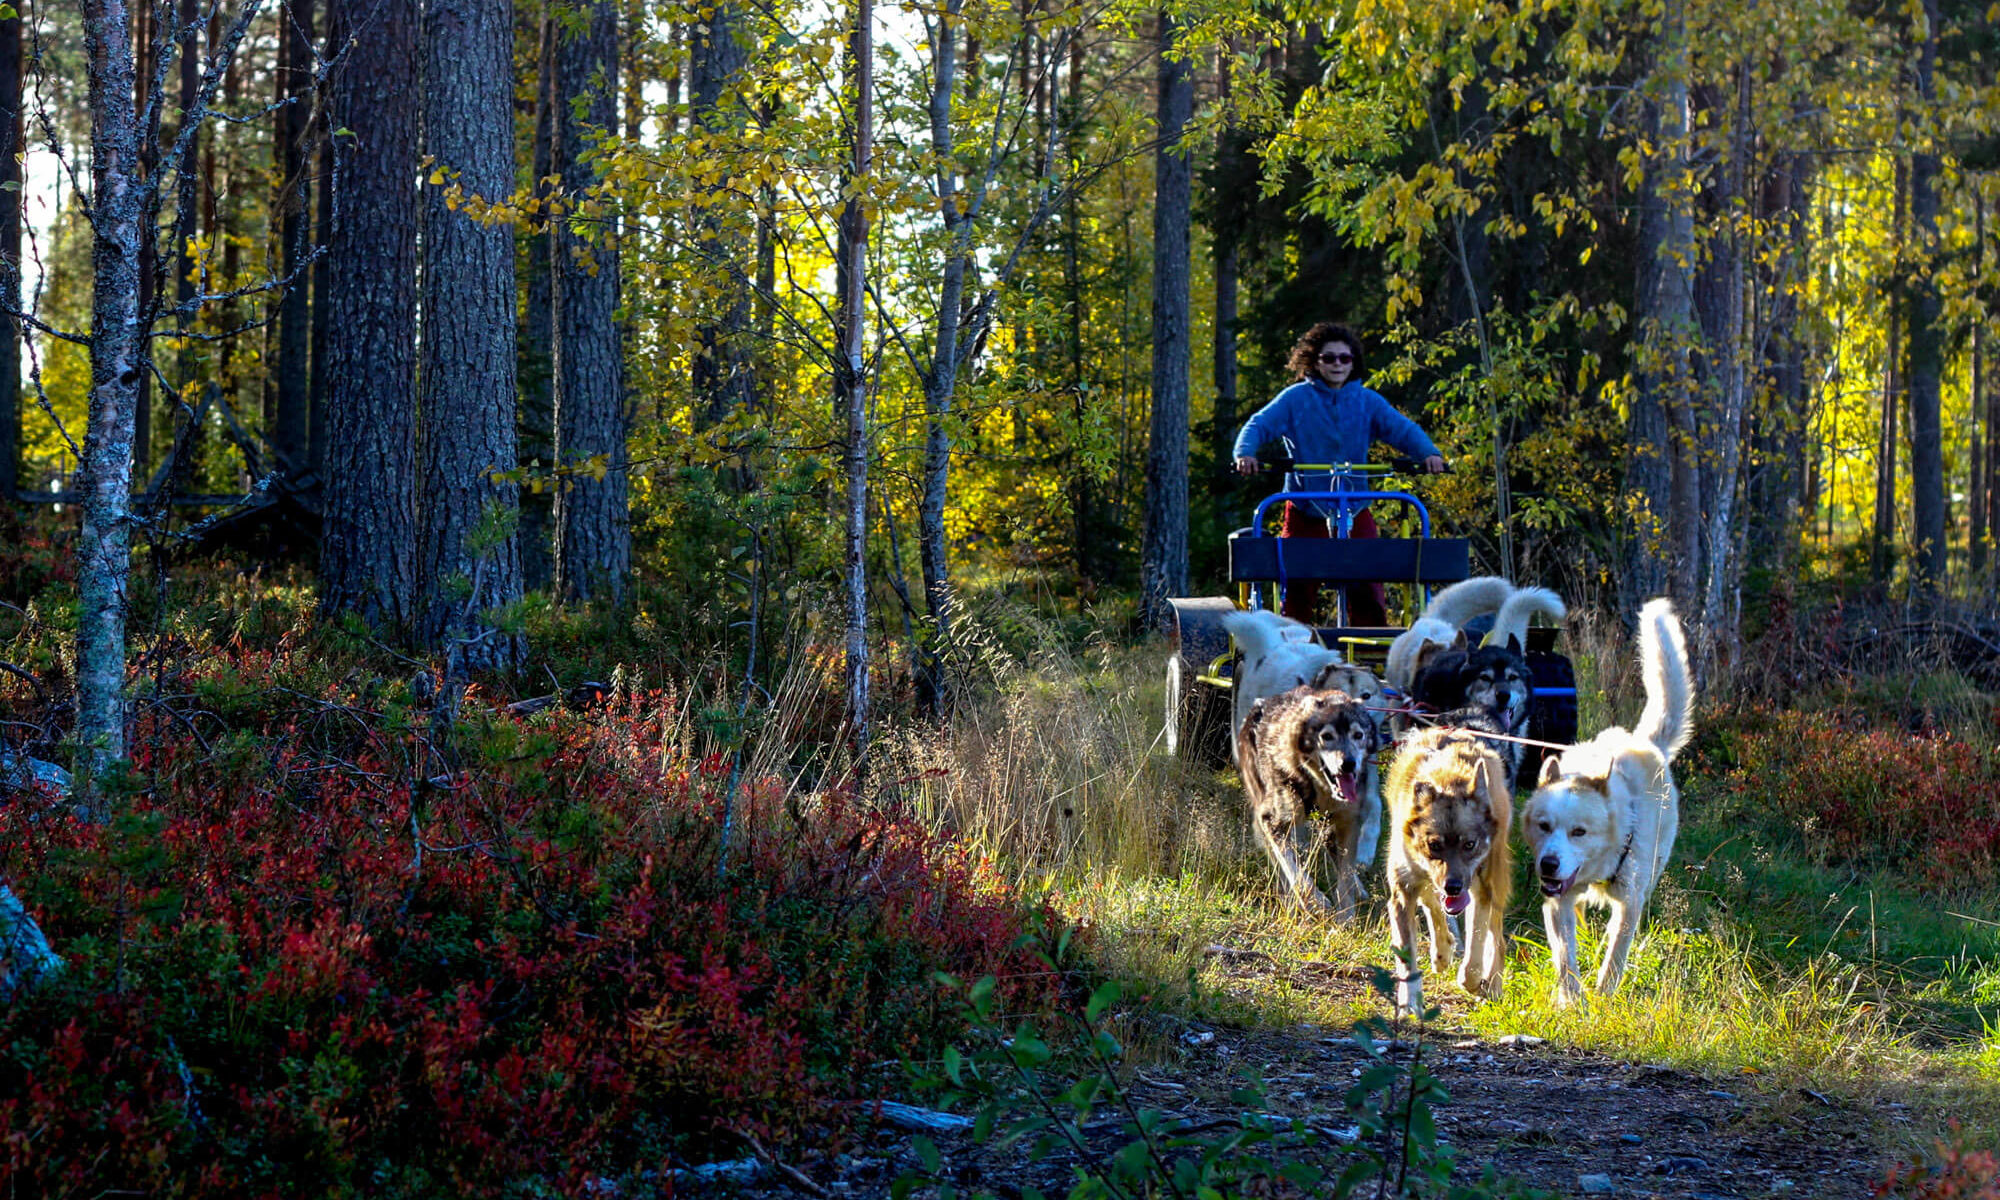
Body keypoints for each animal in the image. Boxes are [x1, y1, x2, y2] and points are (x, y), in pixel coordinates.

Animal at [1232, 684, 1376, 920]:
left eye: (1358, 735)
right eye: (1326, 736)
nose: (1348, 764)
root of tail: (1260, 704)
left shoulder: (1348, 821)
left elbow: (1345, 875)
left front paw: (1346, 917)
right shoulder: (1271, 821)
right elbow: (1295, 870)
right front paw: (1316, 901)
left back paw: (1358, 887)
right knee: (1279, 858)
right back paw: (1290, 898)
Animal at [1384, 720, 1504, 1012]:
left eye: (1469, 844)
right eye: (1434, 845)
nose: (1454, 886)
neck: (1447, 779)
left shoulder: (1481, 892)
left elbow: (1474, 955)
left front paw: (1473, 981)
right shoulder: (1403, 892)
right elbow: (1407, 954)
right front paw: (1409, 1003)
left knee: (1498, 939)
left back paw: (1493, 985)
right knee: (1432, 902)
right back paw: (1442, 952)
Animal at [1512, 596, 1688, 1004]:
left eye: (1580, 832)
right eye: (1544, 826)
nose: (1548, 864)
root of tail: (1646, 741)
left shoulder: (1630, 901)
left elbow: (1615, 958)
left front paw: (1604, 999)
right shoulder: (1556, 901)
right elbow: (1565, 956)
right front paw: (1572, 1002)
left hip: (1651, 873)